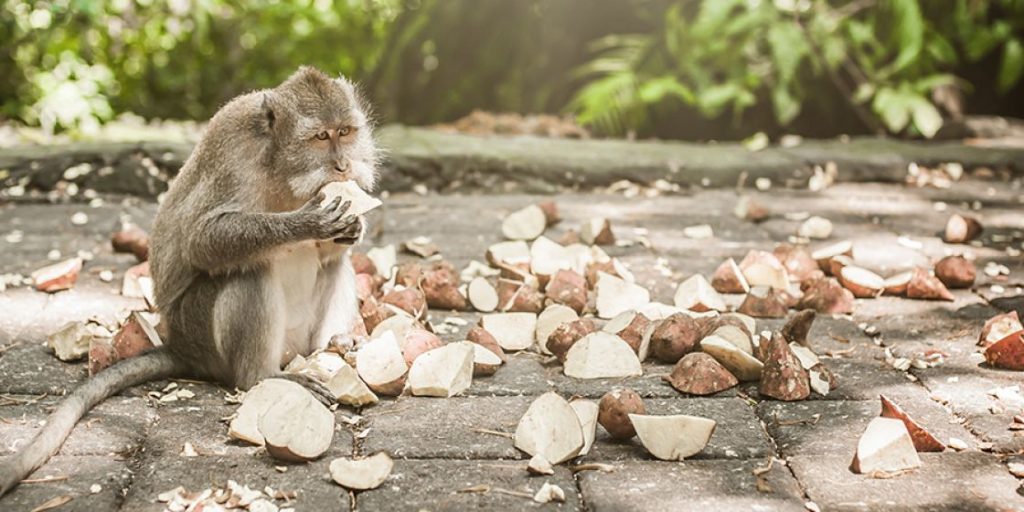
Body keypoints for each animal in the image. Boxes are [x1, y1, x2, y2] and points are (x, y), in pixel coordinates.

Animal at [0, 66, 379, 496]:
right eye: (320, 137)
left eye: (345, 132)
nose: (343, 167)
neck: (282, 169)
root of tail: (181, 346)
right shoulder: (235, 149)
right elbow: (202, 240)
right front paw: (308, 222)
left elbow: (332, 251)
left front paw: (354, 227)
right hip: (200, 330)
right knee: (248, 273)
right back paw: (262, 376)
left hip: (295, 340)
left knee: (336, 265)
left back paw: (335, 345)